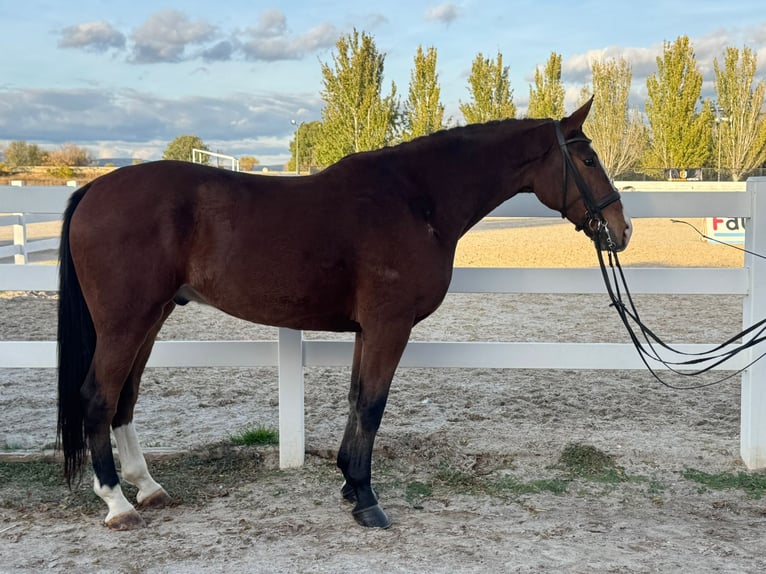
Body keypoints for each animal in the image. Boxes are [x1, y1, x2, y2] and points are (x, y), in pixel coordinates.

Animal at [57, 98, 631, 531]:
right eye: (587, 161)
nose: (621, 231)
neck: (416, 199)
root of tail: (94, 188)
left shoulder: (366, 331)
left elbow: (357, 402)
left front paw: (351, 487)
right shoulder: (388, 327)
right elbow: (373, 407)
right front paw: (368, 502)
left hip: (151, 318)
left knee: (124, 399)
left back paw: (147, 487)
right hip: (125, 322)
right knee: (98, 397)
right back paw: (117, 503)